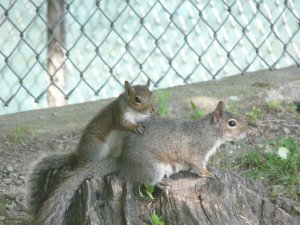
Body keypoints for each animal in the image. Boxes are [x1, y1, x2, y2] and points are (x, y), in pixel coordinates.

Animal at [27, 79, 156, 220]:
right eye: (137, 99)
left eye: (152, 95)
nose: (152, 110)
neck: (135, 113)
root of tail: (78, 154)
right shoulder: (118, 113)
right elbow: (124, 124)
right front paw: (135, 127)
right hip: (97, 148)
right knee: (83, 164)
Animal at [32, 101, 248, 225]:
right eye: (232, 123)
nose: (247, 132)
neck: (209, 132)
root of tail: (123, 162)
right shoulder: (196, 153)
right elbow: (197, 166)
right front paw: (208, 174)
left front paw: (212, 170)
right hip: (152, 167)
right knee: (145, 181)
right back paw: (161, 182)